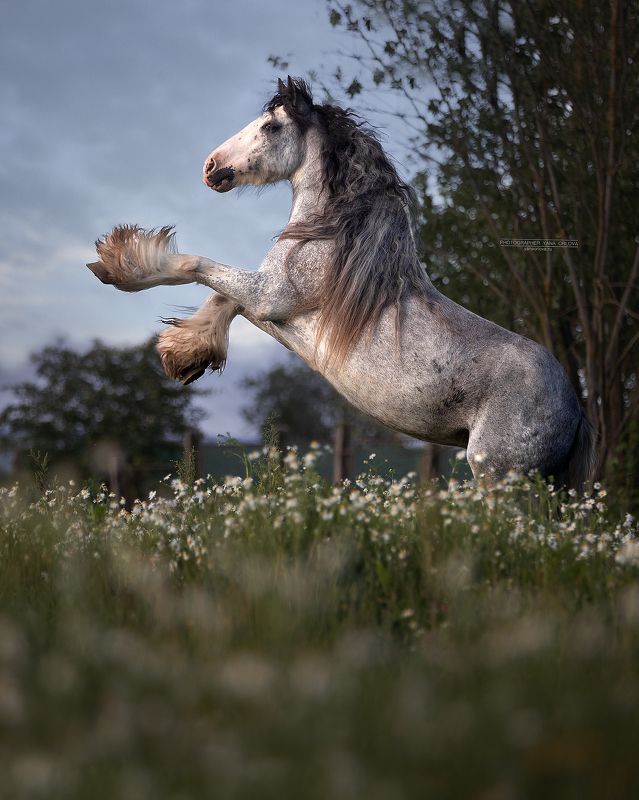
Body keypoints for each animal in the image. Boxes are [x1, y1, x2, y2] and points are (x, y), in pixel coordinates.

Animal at [87, 76, 596, 489]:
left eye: (270, 127)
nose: (212, 166)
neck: (329, 237)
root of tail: (576, 410)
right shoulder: (268, 304)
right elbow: (220, 296)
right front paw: (186, 354)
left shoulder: (270, 296)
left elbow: (197, 267)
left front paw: (122, 264)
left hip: (498, 476)